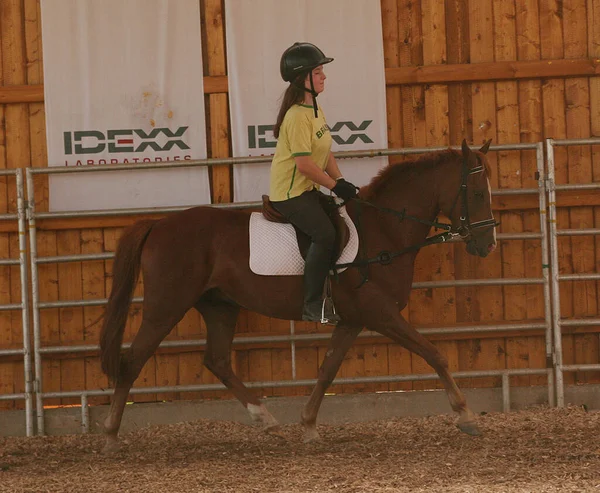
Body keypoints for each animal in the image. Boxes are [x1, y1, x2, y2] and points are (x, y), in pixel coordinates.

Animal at [99, 137, 496, 450]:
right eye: (477, 193)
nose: (487, 244)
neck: (383, 229)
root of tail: (159, 224)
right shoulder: (380, 313)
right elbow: (434, 354)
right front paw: (466, 415)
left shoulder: (352, 320)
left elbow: (327, 369)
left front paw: (308, 426)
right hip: (166, 305)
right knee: (133, 360)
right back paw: (111, 435)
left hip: (219, 306)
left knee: (217, 360)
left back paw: (267, 419)